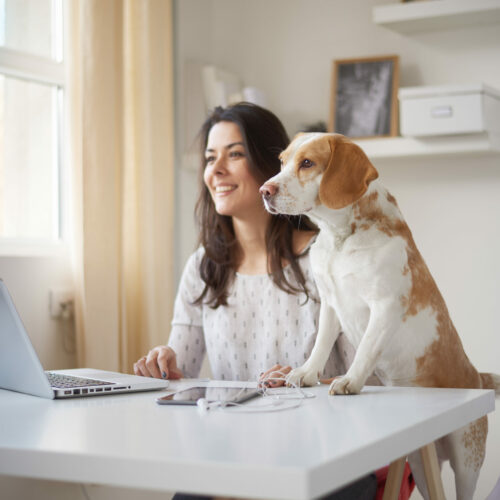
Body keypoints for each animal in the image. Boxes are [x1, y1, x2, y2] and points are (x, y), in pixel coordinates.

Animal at [260, 132, 500, 500]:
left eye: (307, 163)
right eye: (282, 161)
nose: (264, 190)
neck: (340, 238)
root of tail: (478, 377)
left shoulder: (384, 305)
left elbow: (365, 351)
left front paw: (350, 381)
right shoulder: (330, 303)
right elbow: (320, 347)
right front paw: (307, 373)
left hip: (466, 463)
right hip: (421, 463)